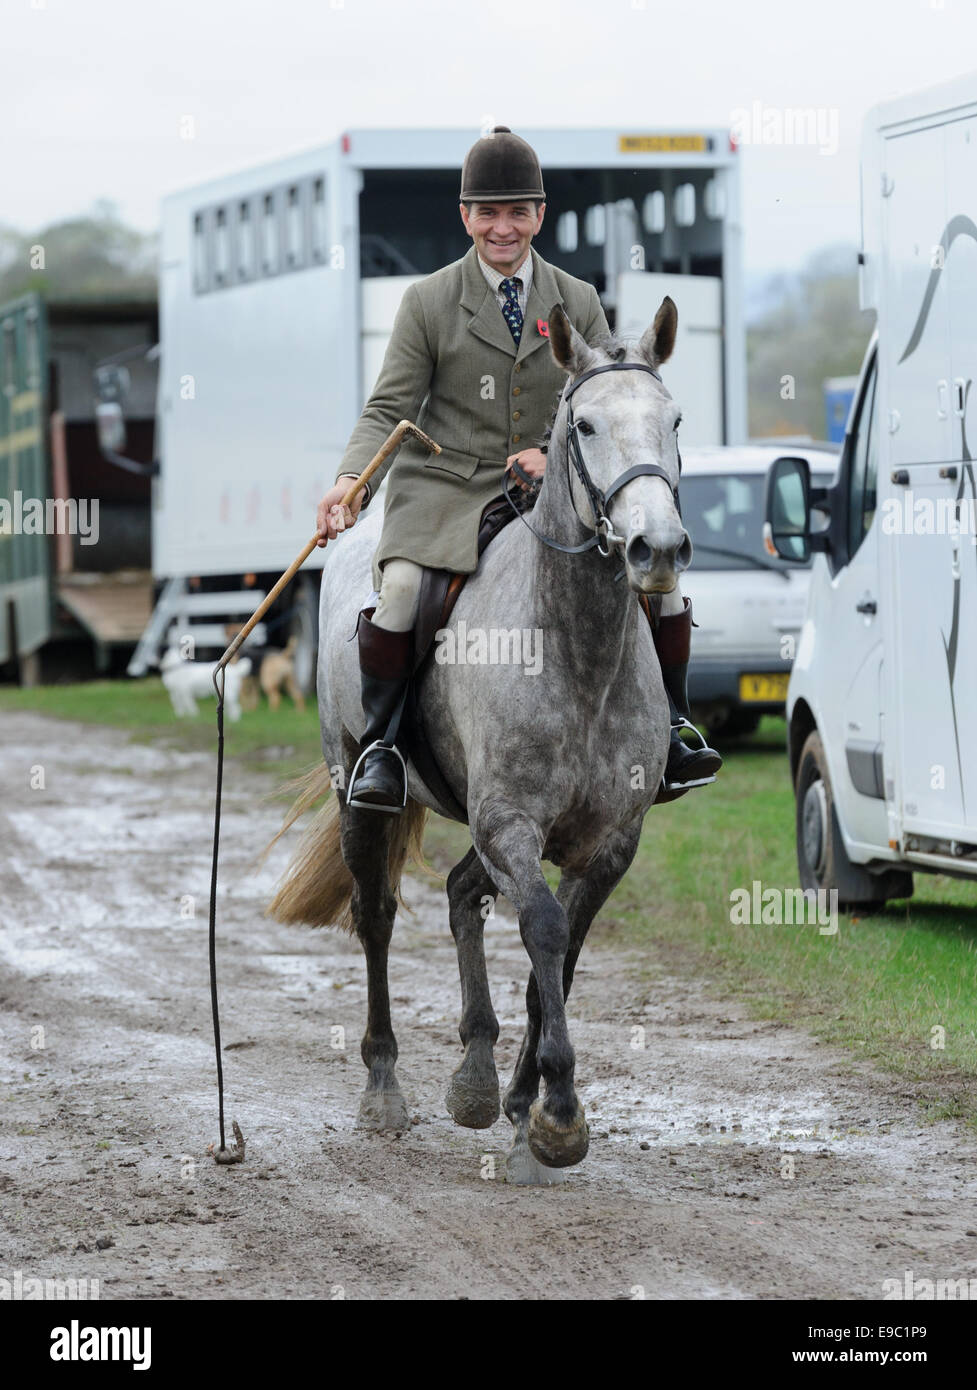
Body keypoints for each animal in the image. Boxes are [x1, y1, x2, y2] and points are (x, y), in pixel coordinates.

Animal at [271, 296, 692, 1184]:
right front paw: (558, 1115)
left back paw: (474, 1074)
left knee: (465, 893)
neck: (577, 649)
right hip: (357, 789)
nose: (659, 550)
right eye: (585, 426)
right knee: (377, 915)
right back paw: (385, 1087)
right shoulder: (511, 823)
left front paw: (524, 1108)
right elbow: (544, 932)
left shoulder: (609, 842)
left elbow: (558, 958)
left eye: (673, 419)